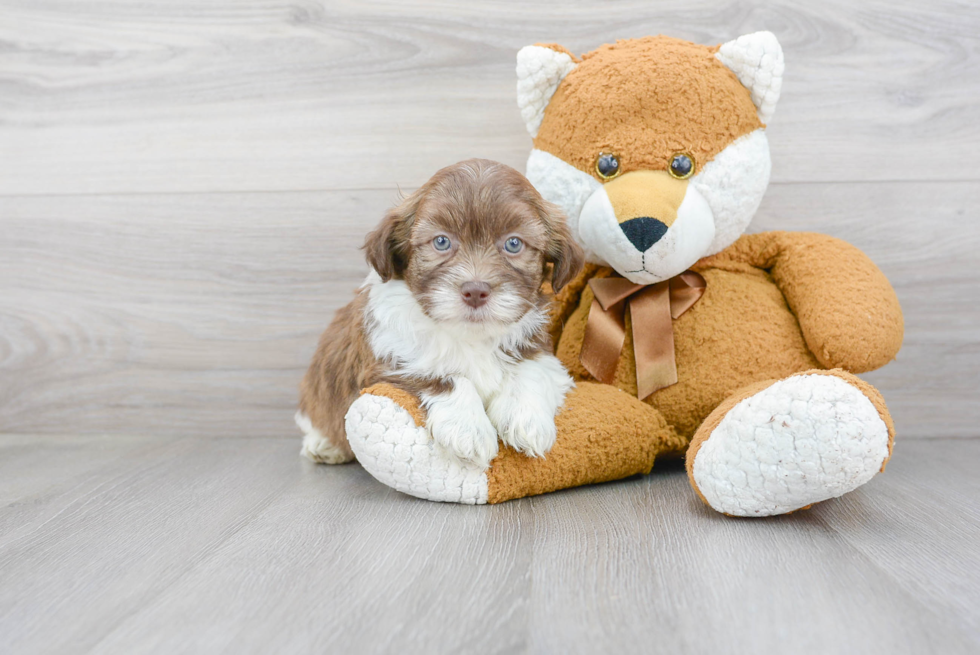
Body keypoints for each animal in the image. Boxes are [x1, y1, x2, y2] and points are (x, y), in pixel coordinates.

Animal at [296, 158, 580, 466]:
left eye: (513, 243)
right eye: (441, 242)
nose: (475, 291)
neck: (470, 335)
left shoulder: (539, 349)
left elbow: (530, 370)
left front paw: (526, 420)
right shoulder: (388, 360)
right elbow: (442, 375)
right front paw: (468, 429)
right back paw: (324, 444)